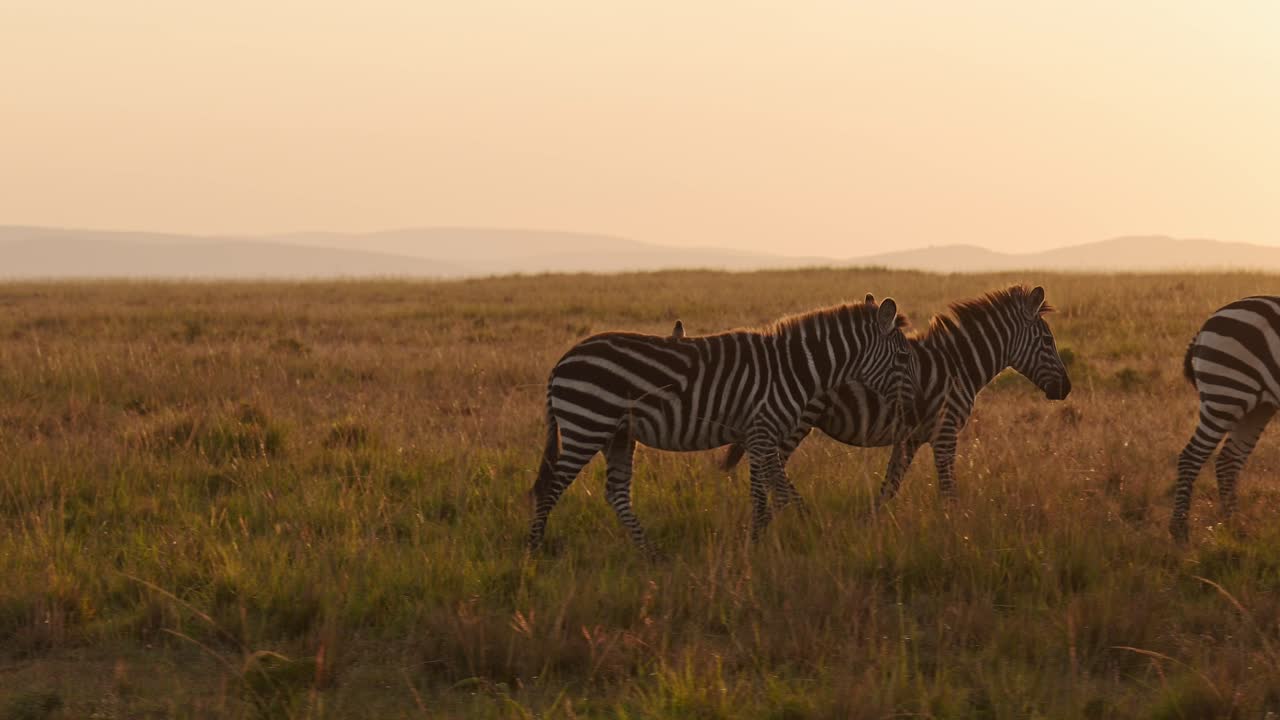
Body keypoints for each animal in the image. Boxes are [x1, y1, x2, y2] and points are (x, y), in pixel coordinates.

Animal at [528, 297, 915, 554]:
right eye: (904, 357)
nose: (912, 408)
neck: (794, 369)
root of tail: (561, 362)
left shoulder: (761, 436)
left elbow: (767, 492)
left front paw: (762, 540)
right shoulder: (762, 431)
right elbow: (776, 493)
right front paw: (804, 533)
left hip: (618, 435)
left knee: (616, 494)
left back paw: (652, 555)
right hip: (587, 425)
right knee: (549, 489)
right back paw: (534, 553)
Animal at [721, 285, 1071, 506]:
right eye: (1047, 341)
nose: (1066, 388)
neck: (958, 365)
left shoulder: (910, 438)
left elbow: (889, 486)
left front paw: (870, 527)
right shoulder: (945, 433)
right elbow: (948, 492)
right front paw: (955, 535)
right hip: (796, 422)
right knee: (772, 465)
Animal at [1171, 296, 1280, 541]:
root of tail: (1210, 319)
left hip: (1258, 407)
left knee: (1229, 459)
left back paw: (1236, 527)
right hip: (1226, 394)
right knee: (1191, 457)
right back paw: (1180, 531)